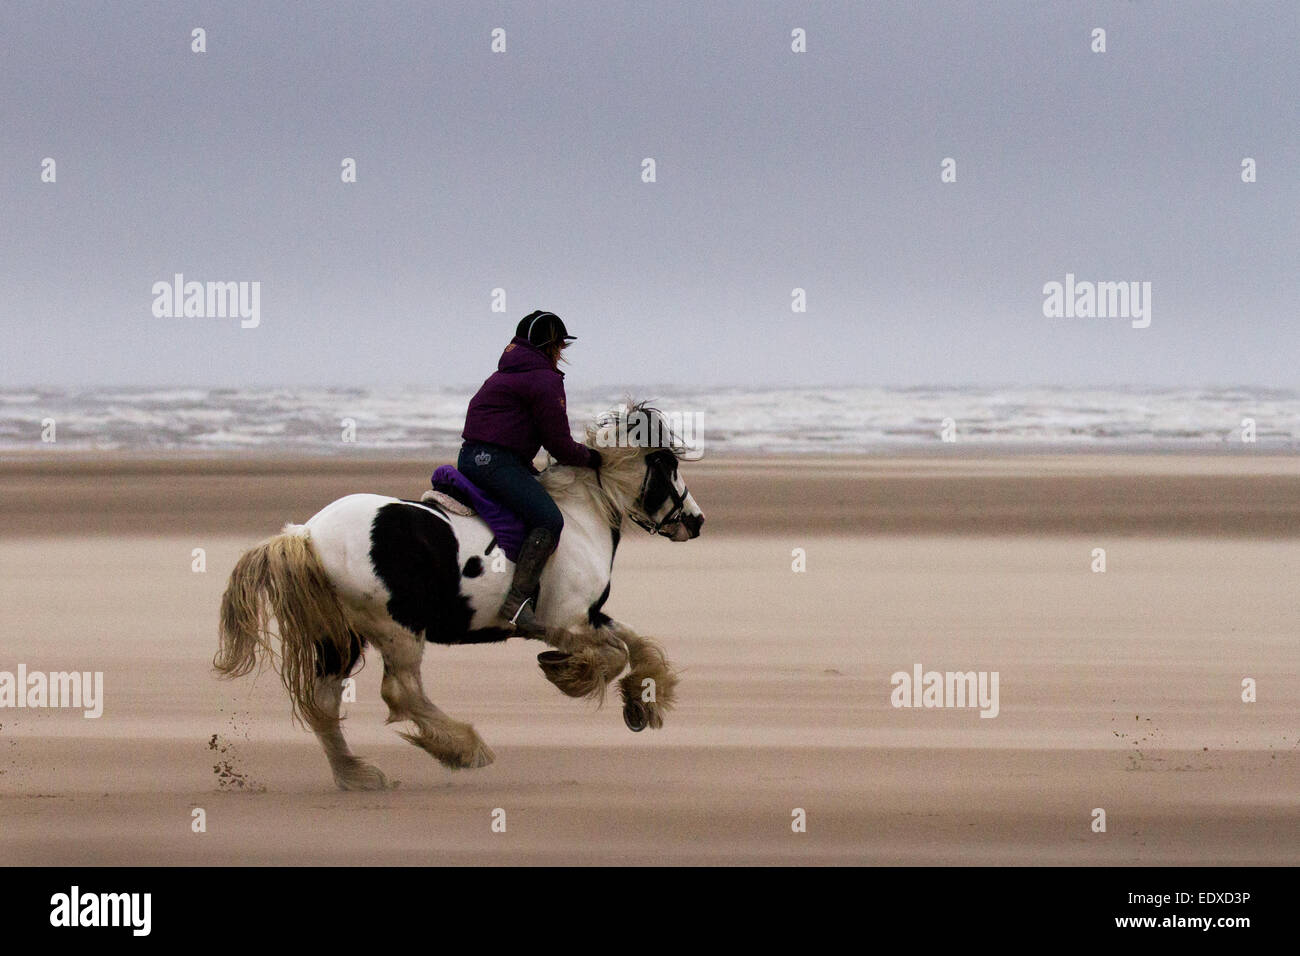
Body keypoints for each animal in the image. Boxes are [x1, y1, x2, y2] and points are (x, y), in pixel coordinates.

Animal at [215, 400, 702, 790]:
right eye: (669, 466)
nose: (695, 521)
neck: (582, 515)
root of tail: (306, 534)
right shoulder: (563, 621)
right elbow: (615, 653)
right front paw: (569, 673)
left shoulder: (590, 615)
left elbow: (637, 644)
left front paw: (641, 701)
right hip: (397, 630)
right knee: (401, 693)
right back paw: (464, 748)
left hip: (339, 637)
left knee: (324, 700)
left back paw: (357, 775)